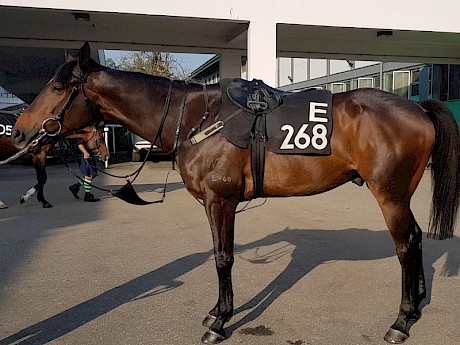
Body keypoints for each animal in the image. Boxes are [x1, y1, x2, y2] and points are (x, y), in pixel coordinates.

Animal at [10, 43, 460, 344]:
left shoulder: (220, 200)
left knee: (405, 245)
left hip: (390, 195)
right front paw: (215, 312)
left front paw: (220, 322)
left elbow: (224, 258)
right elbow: (216, 252)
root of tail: (417, 108)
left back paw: (400, 321)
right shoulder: (213, 205)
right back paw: (417, 304)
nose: (18, 132)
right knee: (415, 239)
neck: (197, 118)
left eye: (57, 87)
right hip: (400, 195)